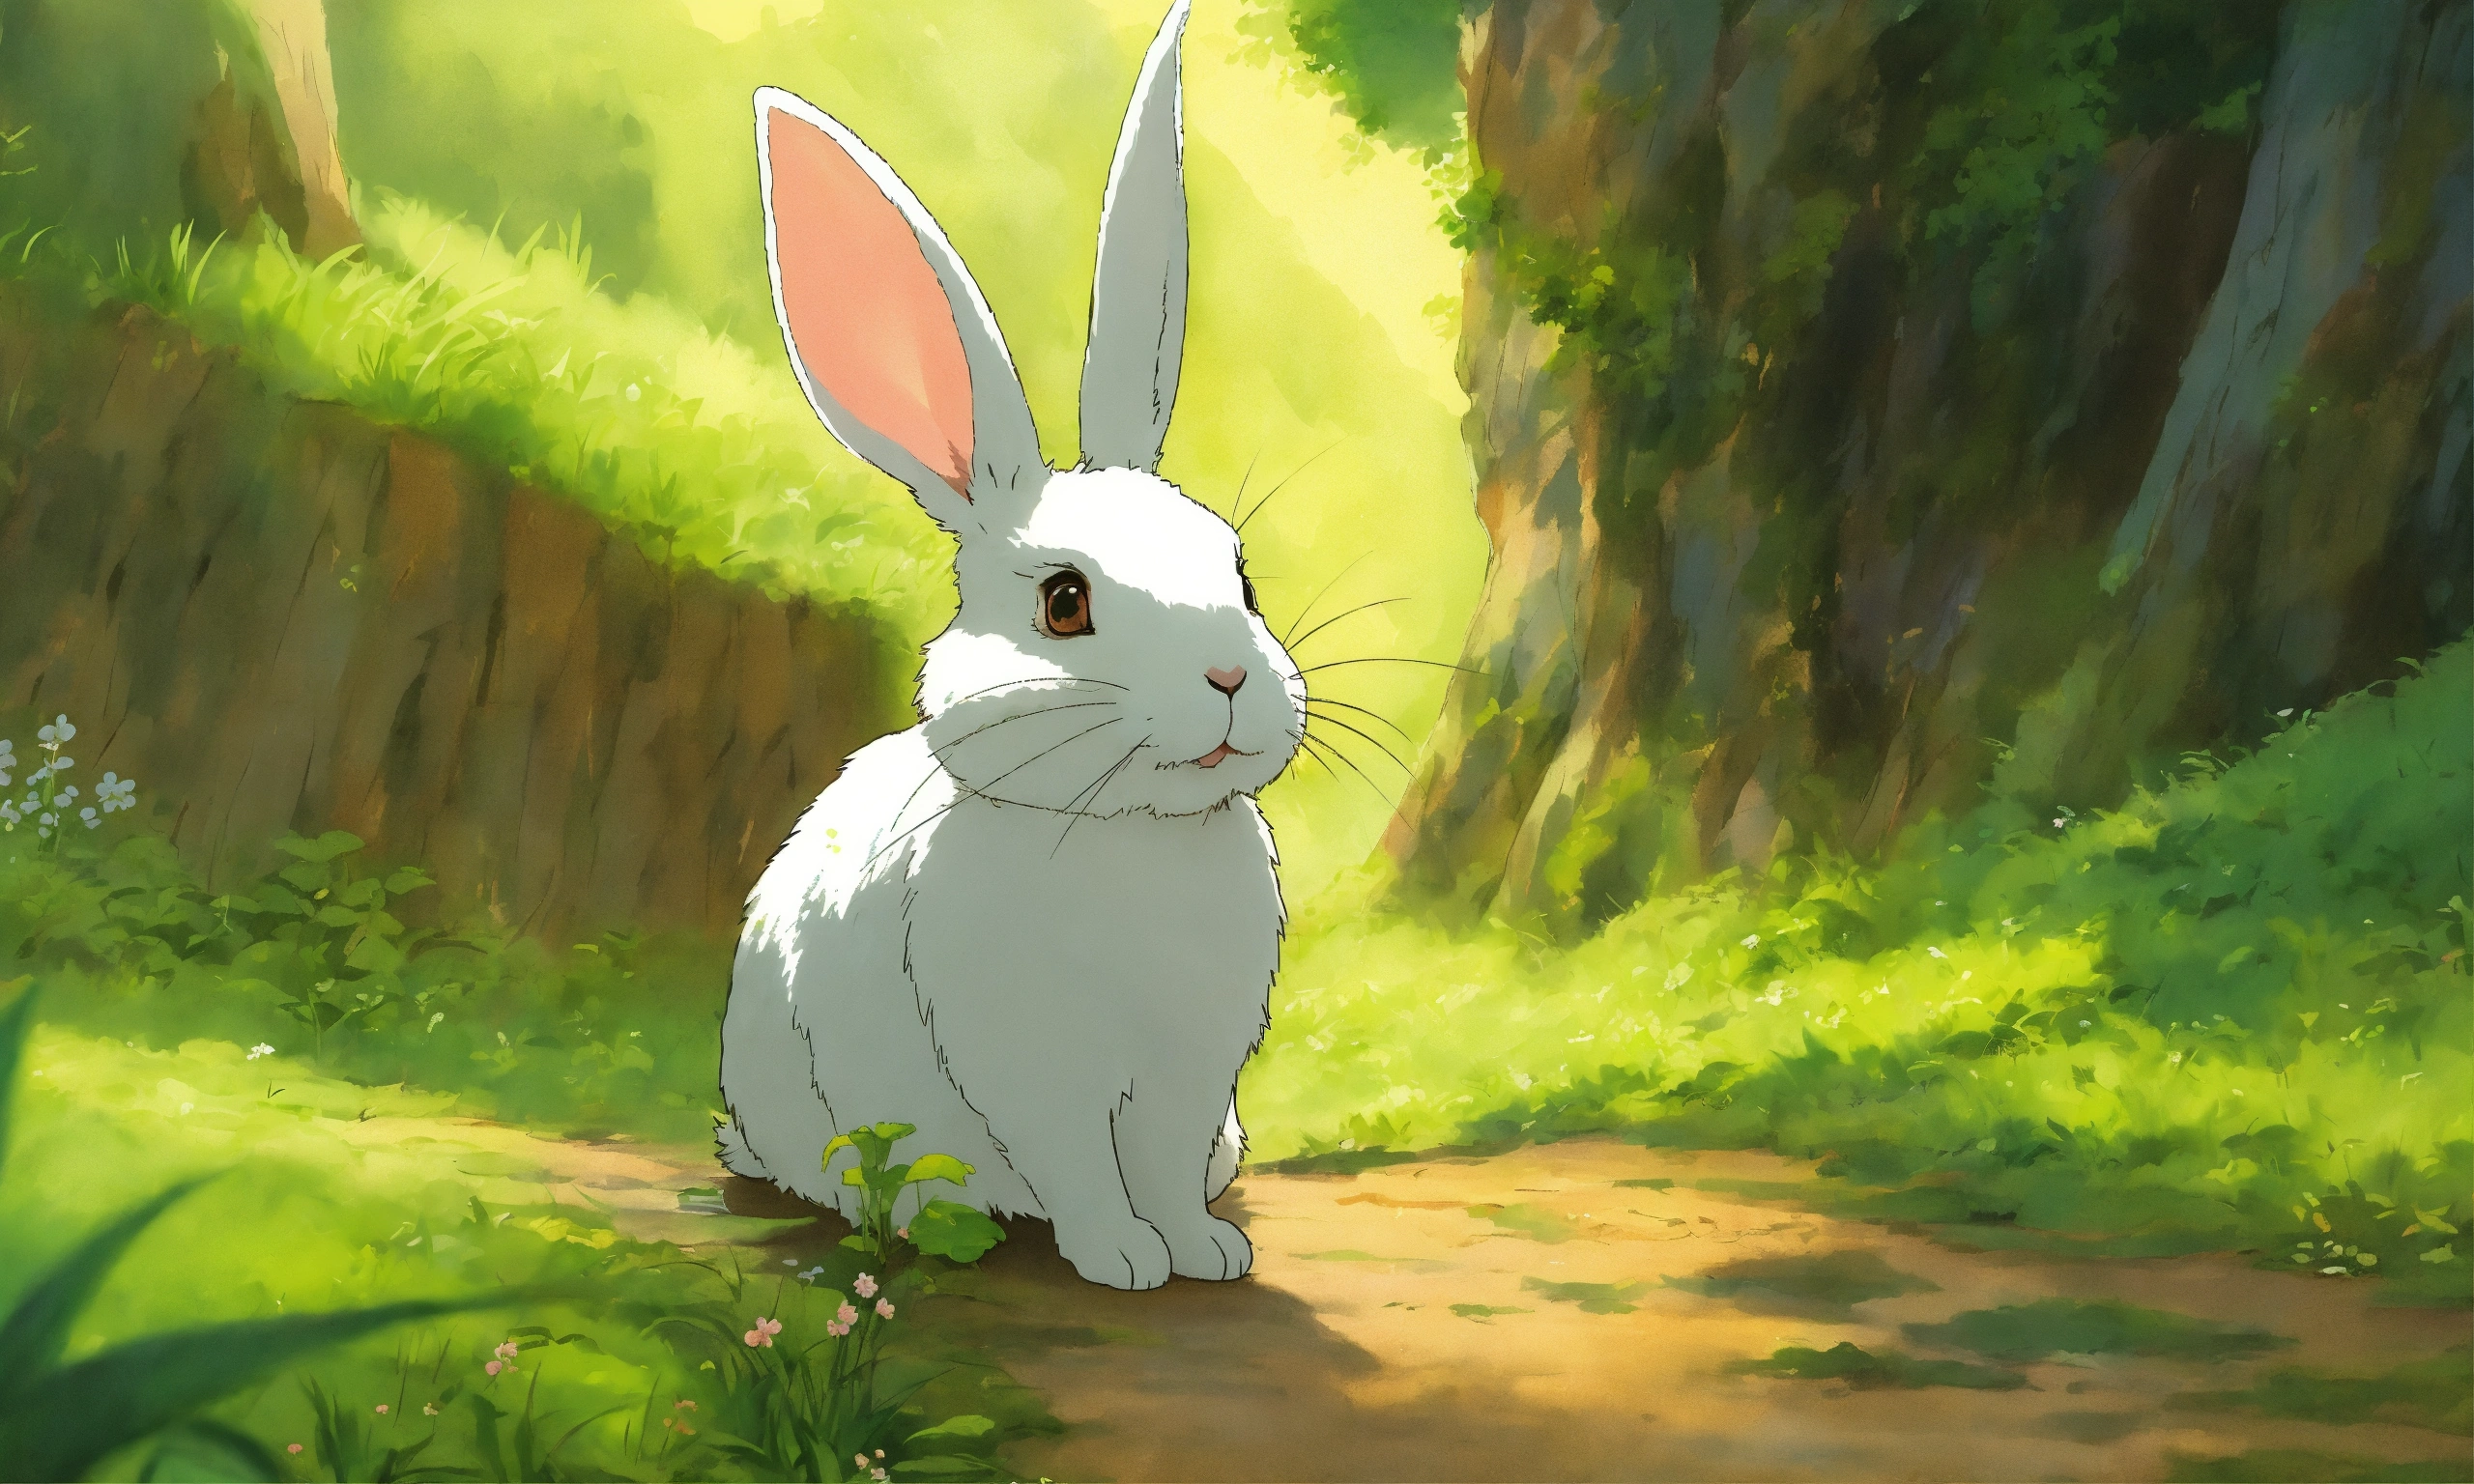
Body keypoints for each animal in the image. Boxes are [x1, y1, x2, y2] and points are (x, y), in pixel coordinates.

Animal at [715, 0, 1302, 1290]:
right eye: (1065, 603)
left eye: (1239, 573)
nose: (1231, 678)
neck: (1129, 833)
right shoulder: (1031, 1069)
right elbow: (1080, 1166)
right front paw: (1124, 1261)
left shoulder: (1192, 1076)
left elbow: (1166, 1163)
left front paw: (1205, 1253)